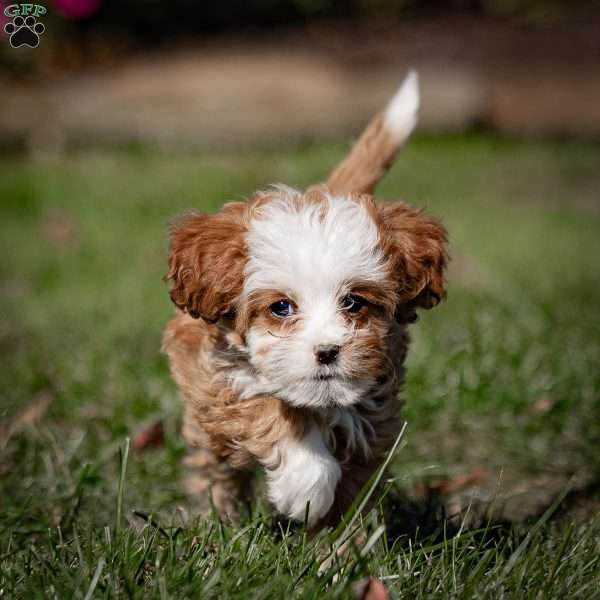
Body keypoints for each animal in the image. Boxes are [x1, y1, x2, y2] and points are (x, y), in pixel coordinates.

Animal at [162, 72, 448, 528]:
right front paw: (306, 488)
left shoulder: (373, 409)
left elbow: (353, 484)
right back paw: (218, 517)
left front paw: (341, 541)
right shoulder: (222, 381)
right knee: (215, 462)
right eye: (281, 307)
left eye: (354, 302)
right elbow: (272, 416)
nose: (327, 352)